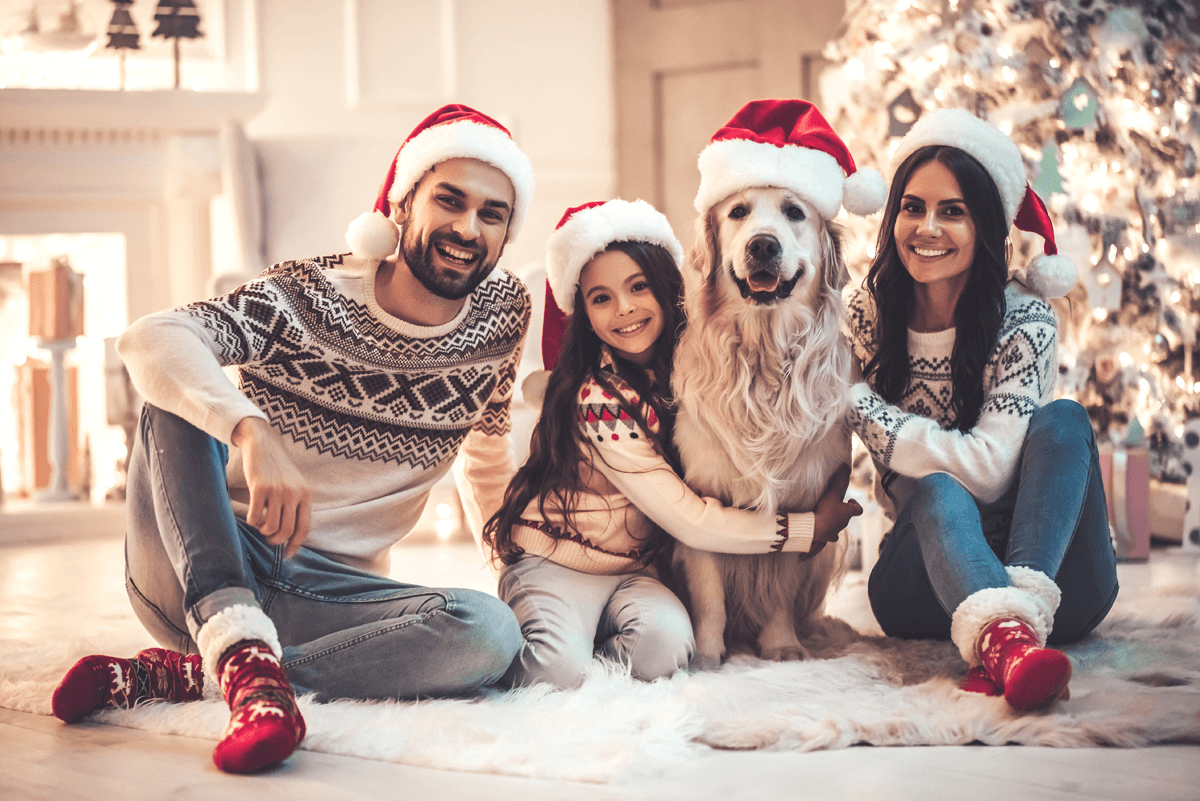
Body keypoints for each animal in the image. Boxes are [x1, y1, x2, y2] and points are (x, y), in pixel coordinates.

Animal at [676, 188, 854, 671]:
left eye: (795, 212)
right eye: (737, 212)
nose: (762, 246)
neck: (763, 357)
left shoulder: (802, 504)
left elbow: (779, 591)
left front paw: (780, 646)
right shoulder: (703, 502)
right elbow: (710, 598)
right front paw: (707, 655)